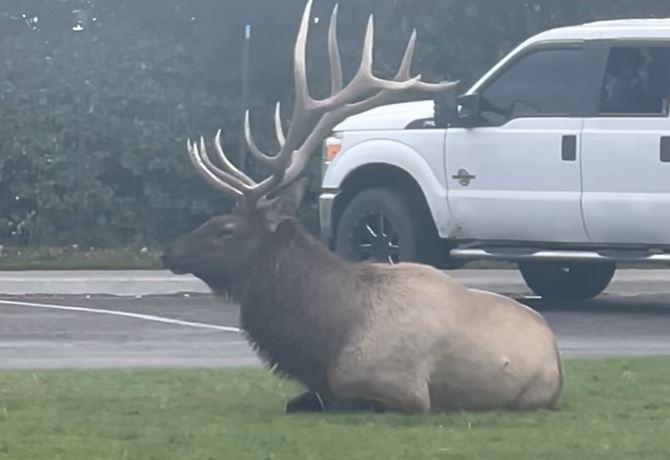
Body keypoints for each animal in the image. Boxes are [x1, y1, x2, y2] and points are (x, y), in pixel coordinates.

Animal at [162, 0, 563, 413]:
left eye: (226, 230)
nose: (168, 251)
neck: (327, 340)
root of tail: (556, 354)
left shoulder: (403, 392)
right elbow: (297, 402)